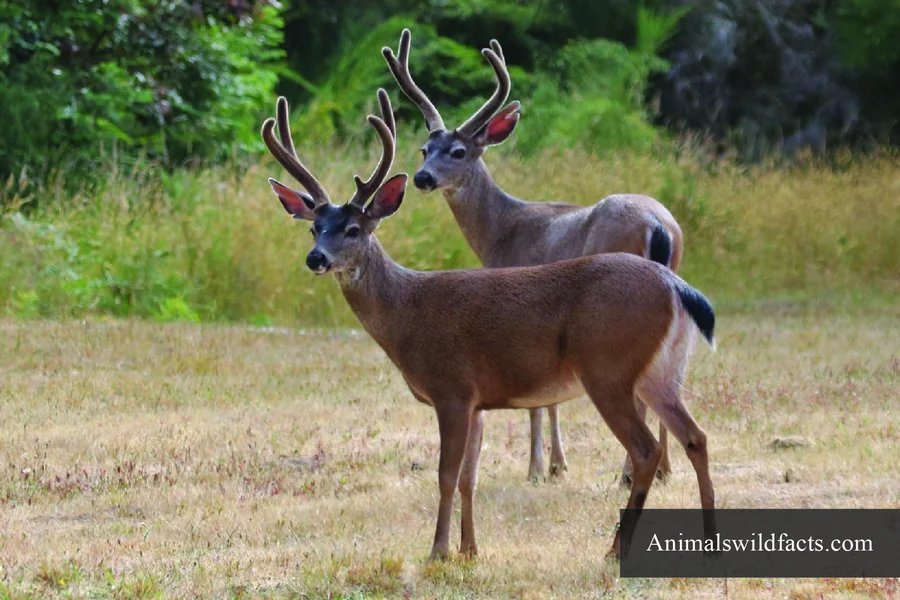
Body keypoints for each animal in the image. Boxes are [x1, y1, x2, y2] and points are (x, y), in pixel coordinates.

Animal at [262, 88, 717, 561]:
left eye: (352, 229)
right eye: (314, 227)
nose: (316, 258)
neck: (406, 313)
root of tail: (677, 286)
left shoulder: (452, 390)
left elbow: (445, 475)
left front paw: (438, 552)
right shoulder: (477, 402)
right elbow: (469, 477)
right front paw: (470, 549)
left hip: (608, 368)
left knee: (646, 449)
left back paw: (615, 550)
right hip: (661, 372)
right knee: (696, 436)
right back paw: (709, 542)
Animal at [383, 29, 685, 484]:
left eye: (458, 152)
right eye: (424, 149)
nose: (422, 178)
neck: (499, 230)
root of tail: (658, 225)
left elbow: (541, 400)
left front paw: (541, 467)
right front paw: (557, 464)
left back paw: (630, 471)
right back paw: (663, 468)